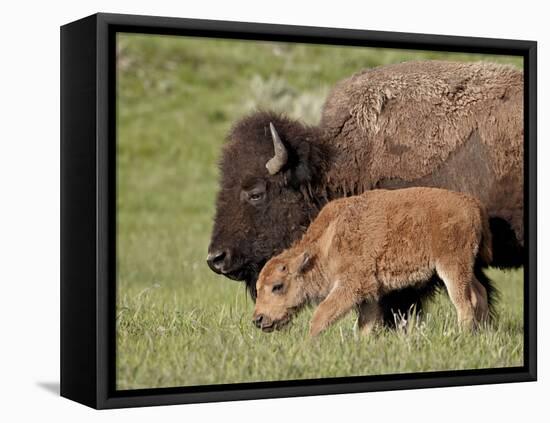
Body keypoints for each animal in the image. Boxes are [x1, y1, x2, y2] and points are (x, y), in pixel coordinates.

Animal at [256, 187, 496, 336]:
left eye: (277, 286)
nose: (258, 319)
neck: (327, 244)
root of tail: (473, 204)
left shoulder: (351, 286)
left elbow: (321, 316)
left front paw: (307, 346)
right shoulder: (369, 293)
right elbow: (365, 324)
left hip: (452, 267)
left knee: (464, 303)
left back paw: (463, 336)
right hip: (465, 269)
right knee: (480, 293)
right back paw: (483, 333)